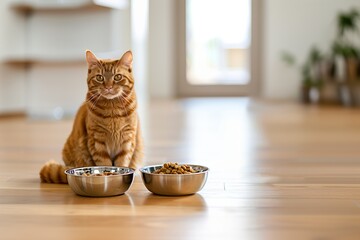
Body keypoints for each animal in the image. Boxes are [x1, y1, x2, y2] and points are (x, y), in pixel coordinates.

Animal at [39, 49, 143, 184]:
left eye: (117, 77)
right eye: (99, 77)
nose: (108, 87)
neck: (113, 110)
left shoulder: (127, 139)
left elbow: (122, 162)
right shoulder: (97, 140)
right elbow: (105, 163)